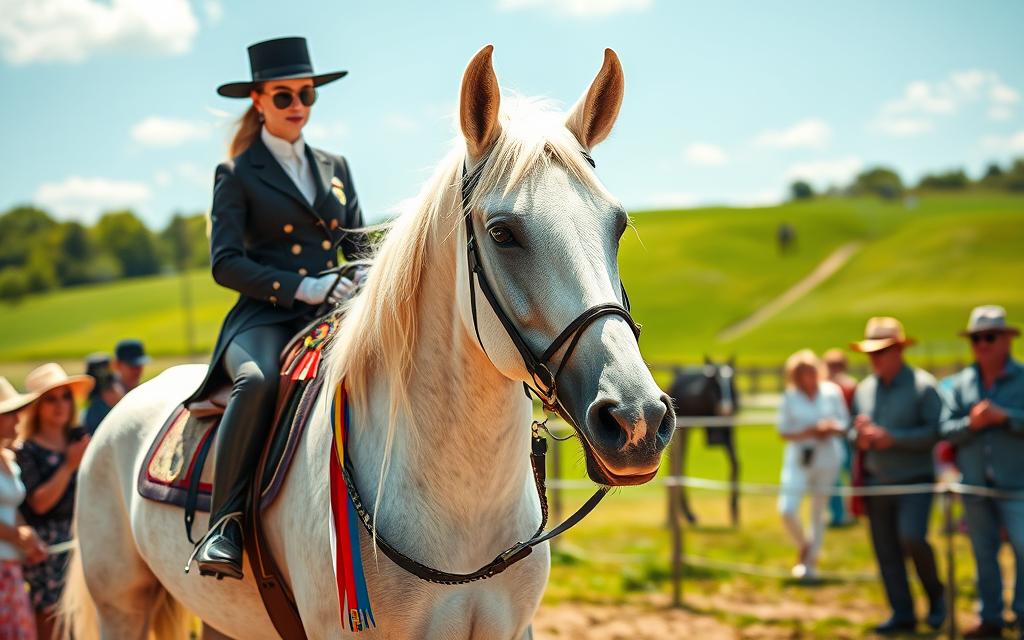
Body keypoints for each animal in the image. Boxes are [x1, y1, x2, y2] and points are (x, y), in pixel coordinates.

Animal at [667, 356, 741, 528]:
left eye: (732, 379)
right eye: (714, 381)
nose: (726, 409)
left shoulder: (729, 431)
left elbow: (736, 463)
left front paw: (734, 511)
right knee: (679, 464)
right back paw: (684, 515)